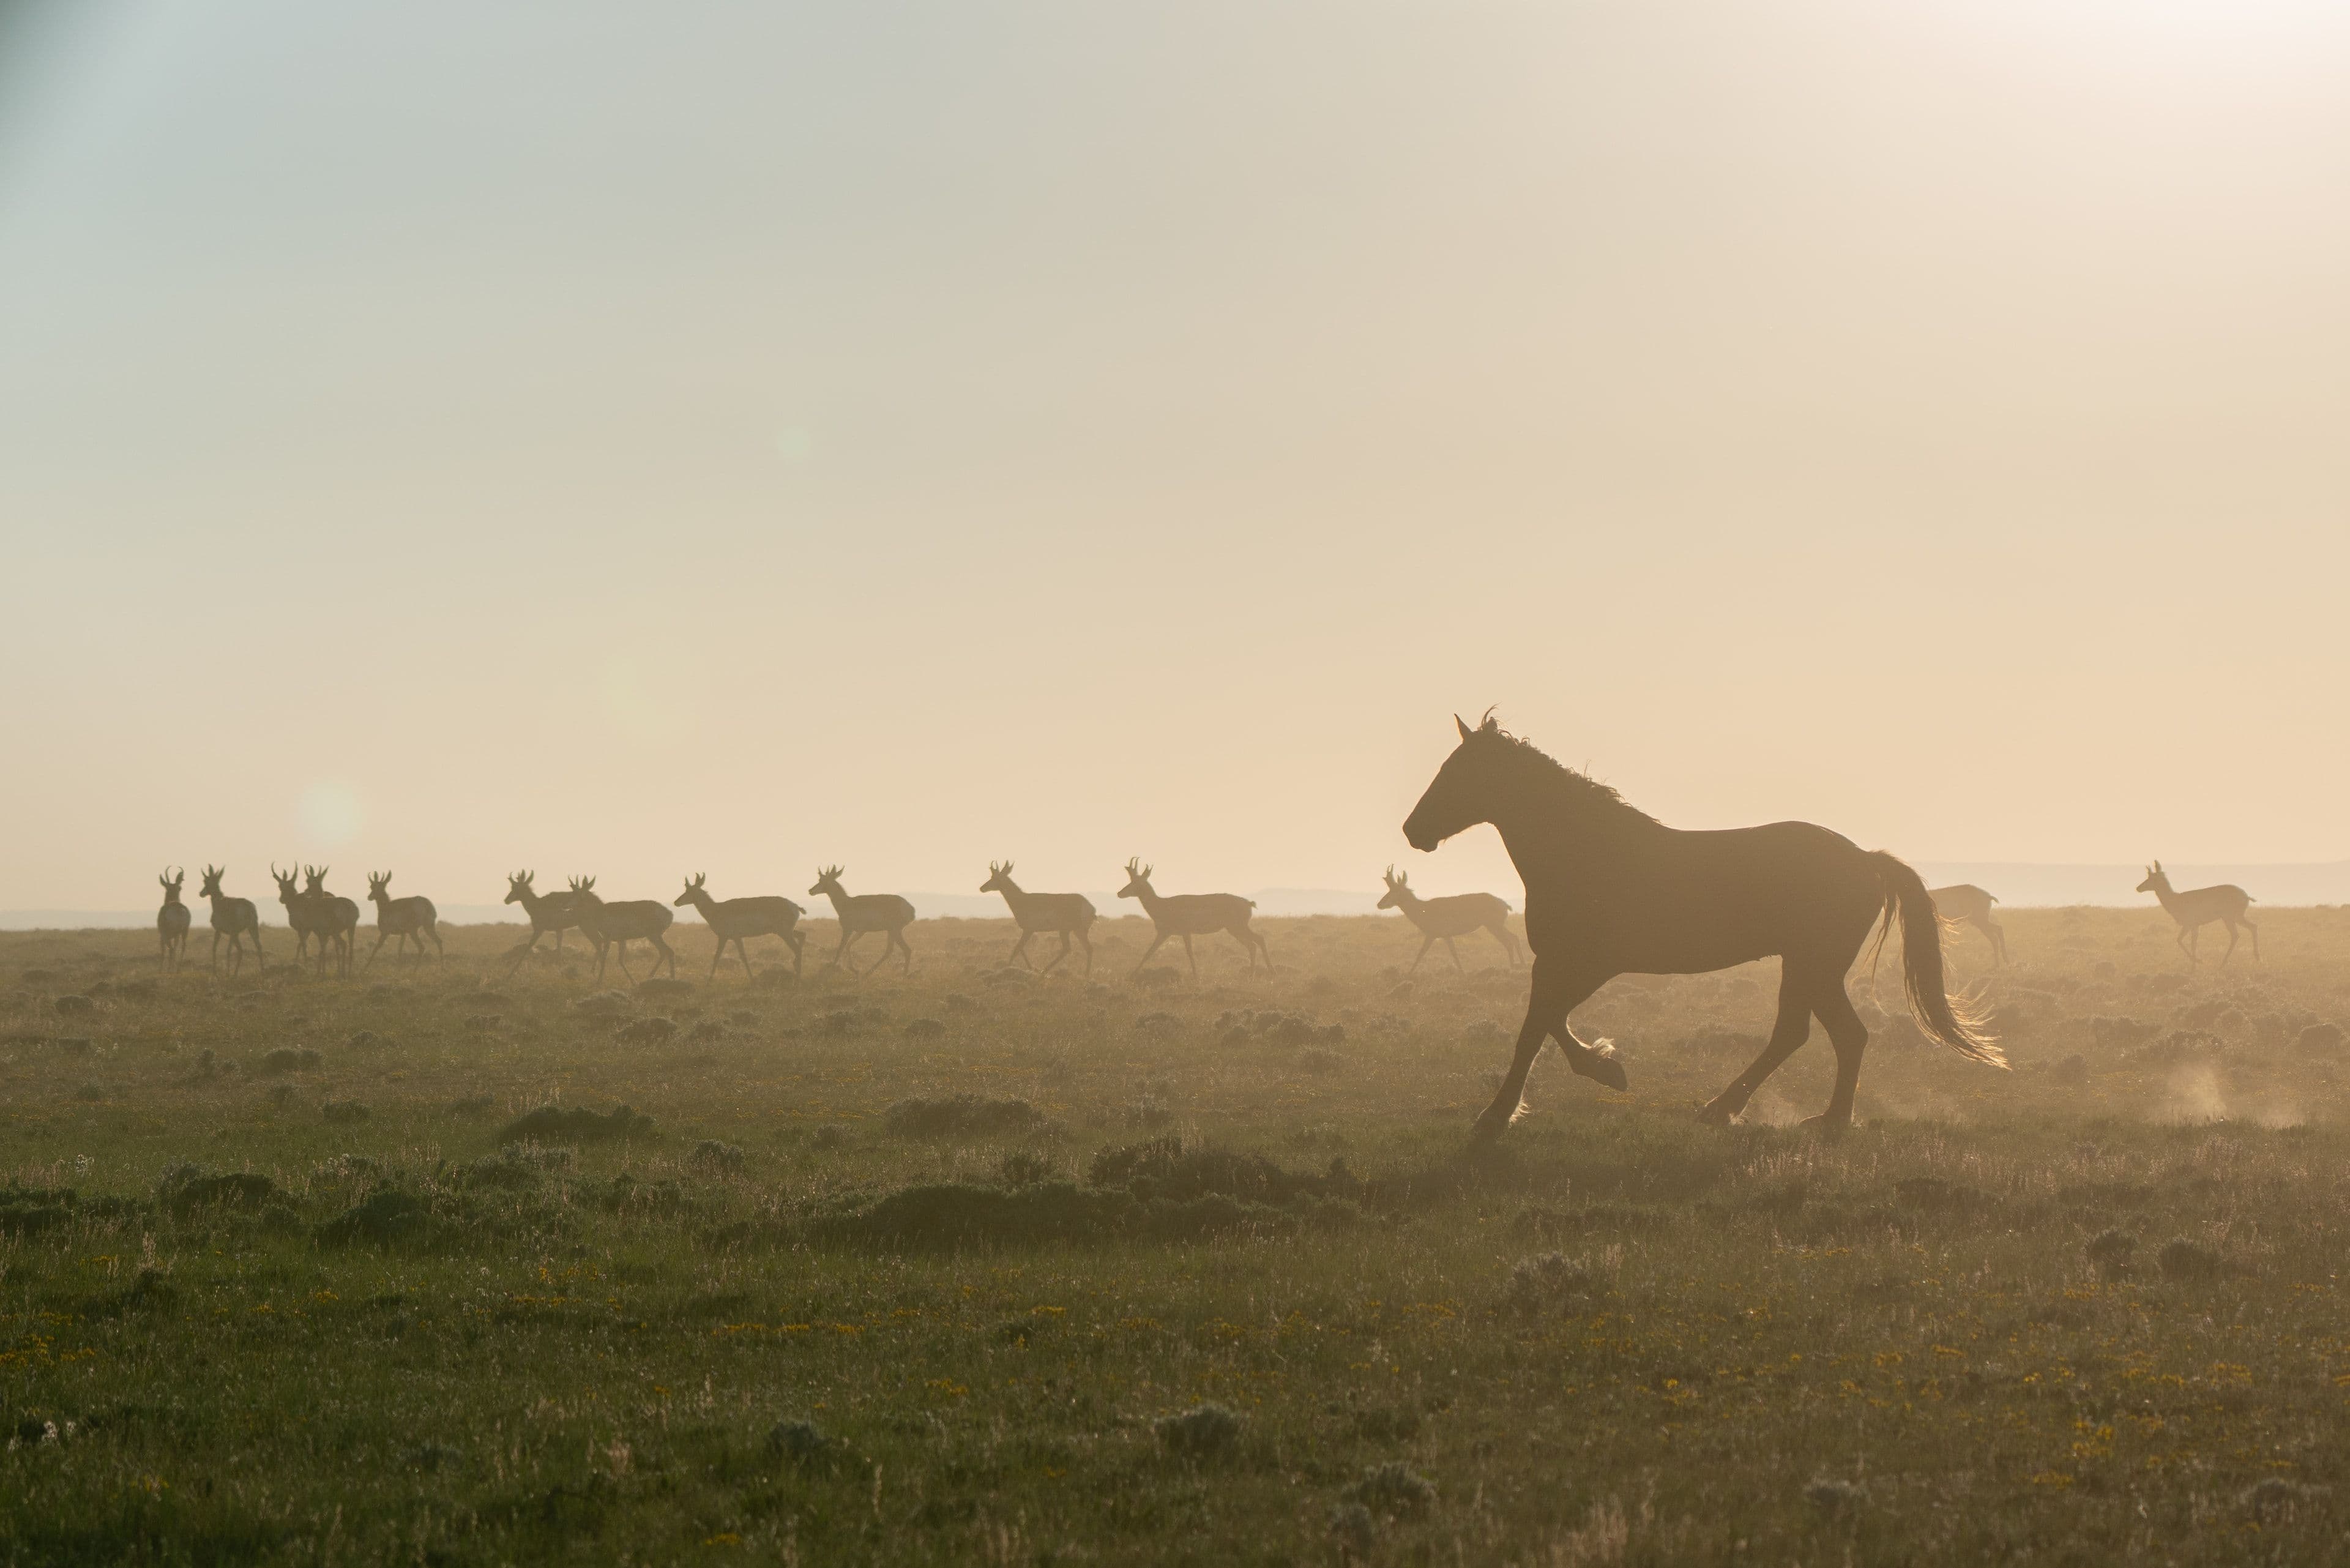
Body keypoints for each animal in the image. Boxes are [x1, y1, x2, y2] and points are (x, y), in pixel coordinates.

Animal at [1402, 713, 2002, 1138]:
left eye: (1458, 772)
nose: (1413, 830)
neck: (1588, 852)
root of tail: (1866, 859)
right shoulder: (1563, 963)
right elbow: (1544, 1023)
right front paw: (1601, 1067)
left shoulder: (1585, 963)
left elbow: (1536, 1028)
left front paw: (1507, 1110)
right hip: (1807, 967)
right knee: (1817, 1034)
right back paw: (1769, 1113)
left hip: (1815, 965)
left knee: (1831, 1034)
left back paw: (1777, 1115)